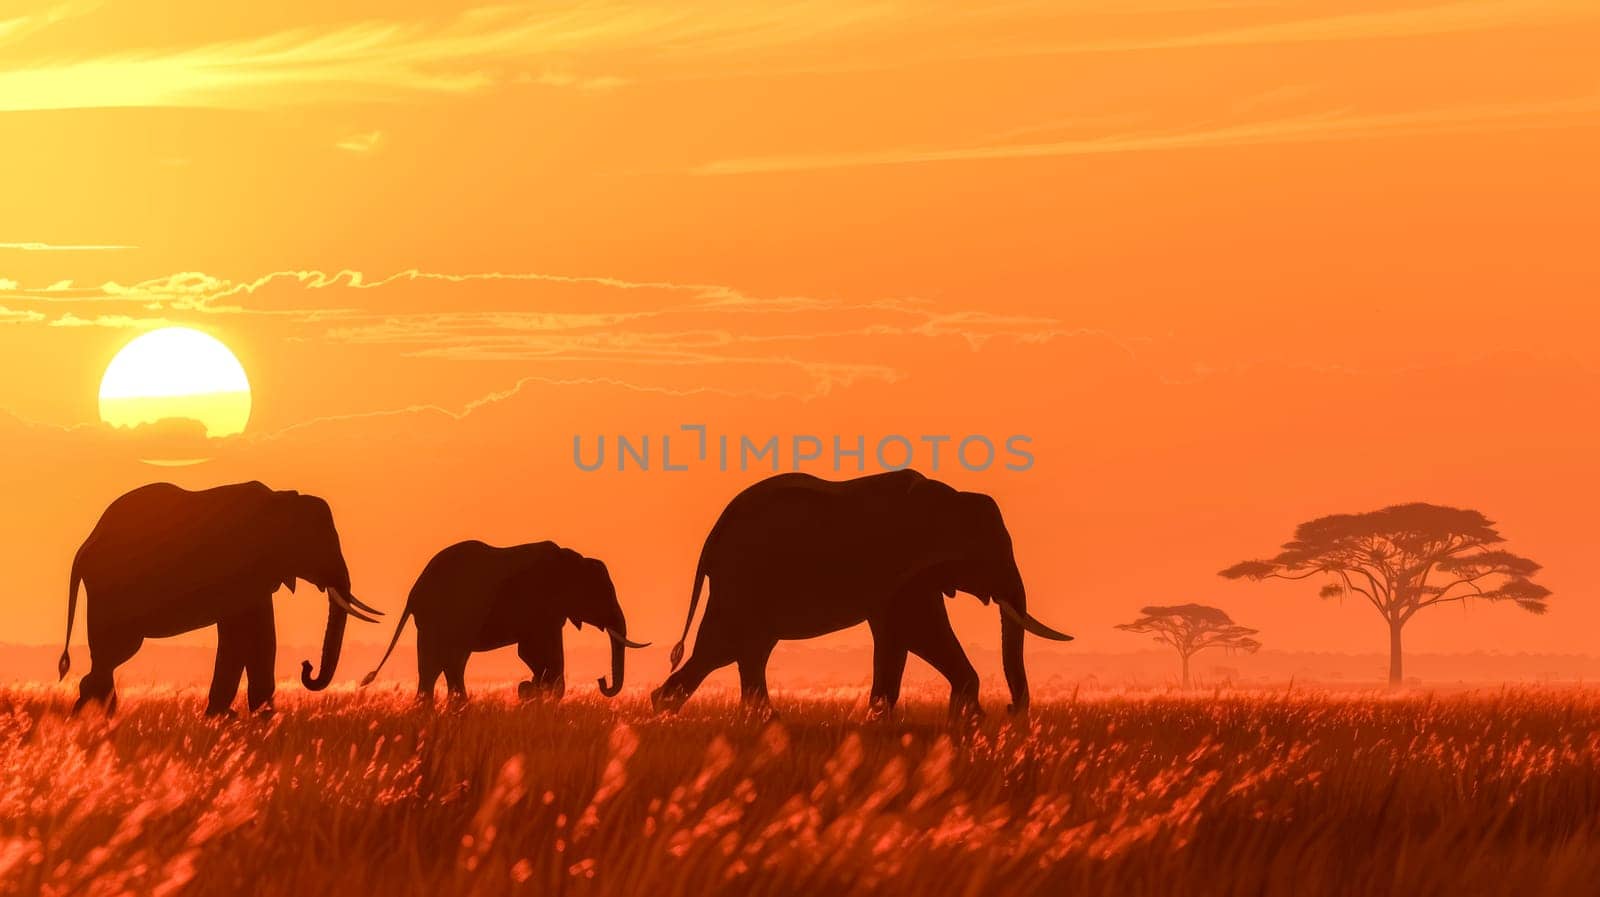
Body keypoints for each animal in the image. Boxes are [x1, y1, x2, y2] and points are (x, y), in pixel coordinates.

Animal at [62, 479, 380, 716]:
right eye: (316, 544)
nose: (306, 666)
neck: (280, 500)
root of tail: (83, 547)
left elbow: (261, 635)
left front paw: (258, 718)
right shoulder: (239, 569)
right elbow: (240, 636)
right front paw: (228, 717)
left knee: (106, 658)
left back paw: (95, 717)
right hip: (112, 593)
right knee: (113, 653)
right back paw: (95, 718)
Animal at [363, 537, 649, 700]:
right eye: (602, 594)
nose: (601, 681)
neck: (571, 561)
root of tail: (413, 593)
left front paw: (534, 691)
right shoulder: (539, 606)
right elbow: (536, 652)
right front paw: (534, 691)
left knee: (434, 666)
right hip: (449, 616)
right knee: (450, 661)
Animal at [649, 470, 1075, 713]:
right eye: (987, 555)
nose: (1010, 709)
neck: (949, 497)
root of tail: (713, 536)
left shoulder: (911, 574)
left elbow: (907, 636)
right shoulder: (898, 565)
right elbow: (916, 631)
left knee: (737, 651)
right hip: (742, 581)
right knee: (725, 648)